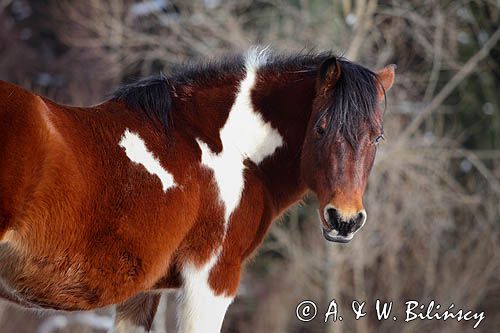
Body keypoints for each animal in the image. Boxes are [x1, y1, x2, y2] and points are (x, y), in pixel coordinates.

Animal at [0, 48, 396, 330]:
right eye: (321, 128)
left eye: (377, 137)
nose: (345, 220)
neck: (226, 146)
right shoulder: (211, 282)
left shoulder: (142, 293)